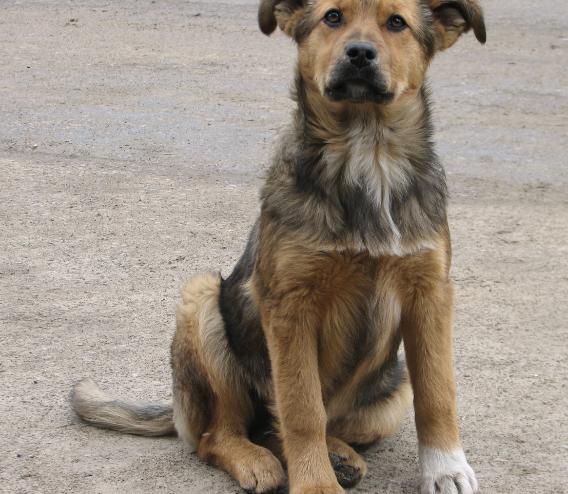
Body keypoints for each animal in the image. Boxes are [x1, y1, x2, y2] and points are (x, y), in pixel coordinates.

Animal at [71, 1, 486, 493]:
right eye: (332, 17)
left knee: (299, 424)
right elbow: (301, 408)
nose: (359, 54)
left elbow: (438, 392)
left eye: (396, 23)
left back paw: (339, 454)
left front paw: (446, 469)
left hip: (390, 392)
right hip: (202, 300)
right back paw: (260, 460)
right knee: (221, 434)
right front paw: (316, 484)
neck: (368, 155)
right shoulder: (289, 304)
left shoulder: (430, 292)